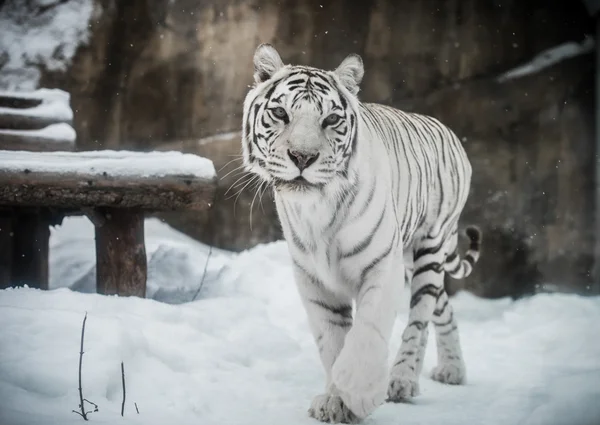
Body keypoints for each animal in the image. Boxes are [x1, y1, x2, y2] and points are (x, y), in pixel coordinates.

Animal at [241, 44, 480, 422]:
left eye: (330, 119)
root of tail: (446, 129)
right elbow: (333, 341)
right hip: (413, 259)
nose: (302, 157)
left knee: (420, 315)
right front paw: (335, 402)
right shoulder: (313, 279)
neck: (317, 208)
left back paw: (403, 380)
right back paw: (451, 369)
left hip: (430, 246)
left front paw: (359, 393)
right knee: (442, 307)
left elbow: (367, 332)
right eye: (280, 113)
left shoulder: (382, 265)